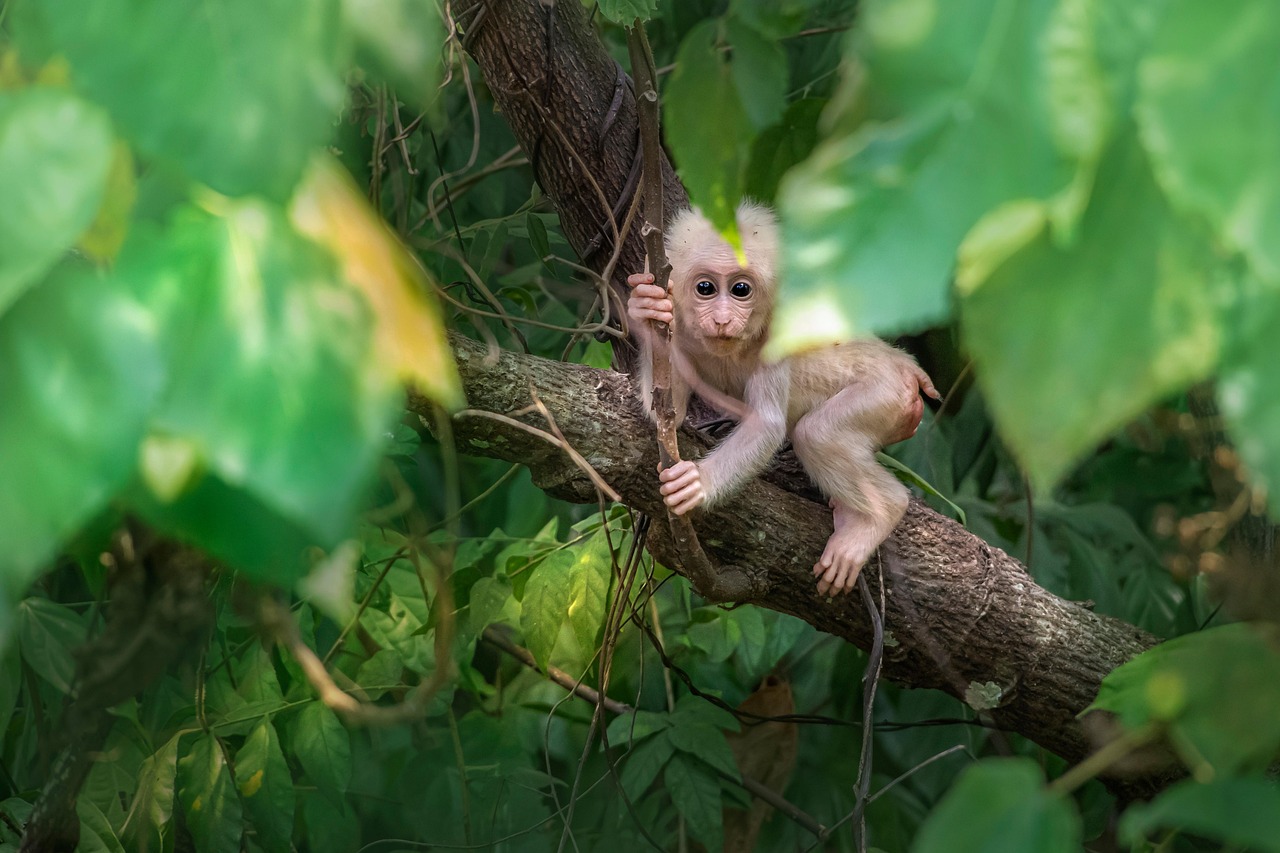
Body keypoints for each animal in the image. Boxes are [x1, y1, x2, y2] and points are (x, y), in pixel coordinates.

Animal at [624, 202, 936, 594]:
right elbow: (669, 414)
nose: (722, 320)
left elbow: (766, 424)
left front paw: (697, 484)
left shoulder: (777, 332)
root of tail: (906, 367)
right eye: (705, 288)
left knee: (817, 434)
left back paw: (878, 516)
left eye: (741, 289)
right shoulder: (679, 328)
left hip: (887, 392)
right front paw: (644, 306)